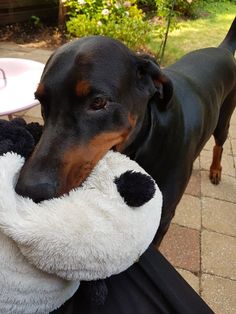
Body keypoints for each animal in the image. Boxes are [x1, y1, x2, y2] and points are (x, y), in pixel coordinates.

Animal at [15, 18, 235, 247]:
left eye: (98, 102)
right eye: (41, 100)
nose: (29, 189)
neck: (148, 139)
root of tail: (223, 49)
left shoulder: (163, 217)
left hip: (223, 120)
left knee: (220, 144)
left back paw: (216, 170)